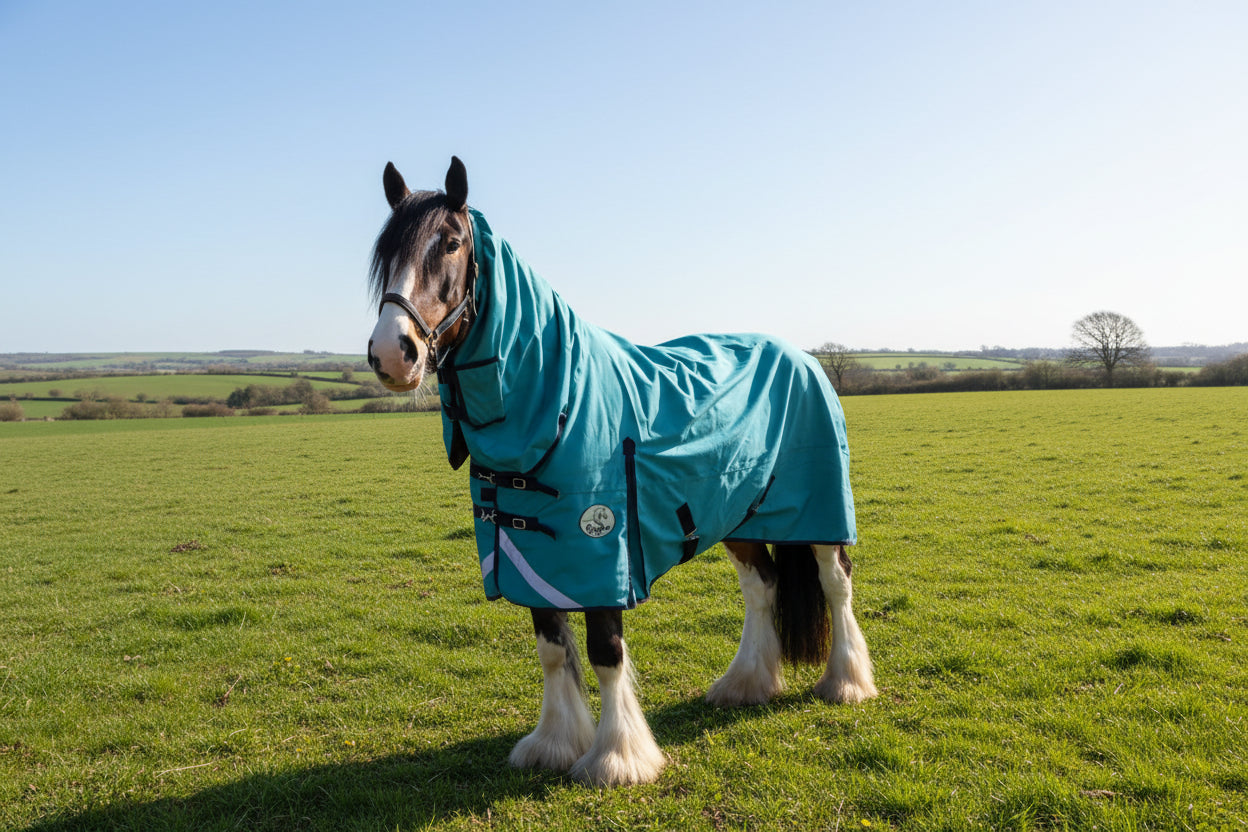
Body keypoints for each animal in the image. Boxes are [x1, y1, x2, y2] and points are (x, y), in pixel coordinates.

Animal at [366, 157, 877, 787]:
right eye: (385, 253)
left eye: (452, 243)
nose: (393, 352)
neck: (558, 399)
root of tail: (805, 358)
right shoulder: (529, 555)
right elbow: (552, 649)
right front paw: (554, 743)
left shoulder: (604, 550)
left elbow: (606, 653)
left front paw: (617, 757)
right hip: (741, 517)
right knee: (762, 588)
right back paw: (745, 683)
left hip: (820, 512)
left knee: (836, 583)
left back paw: (847, 683)